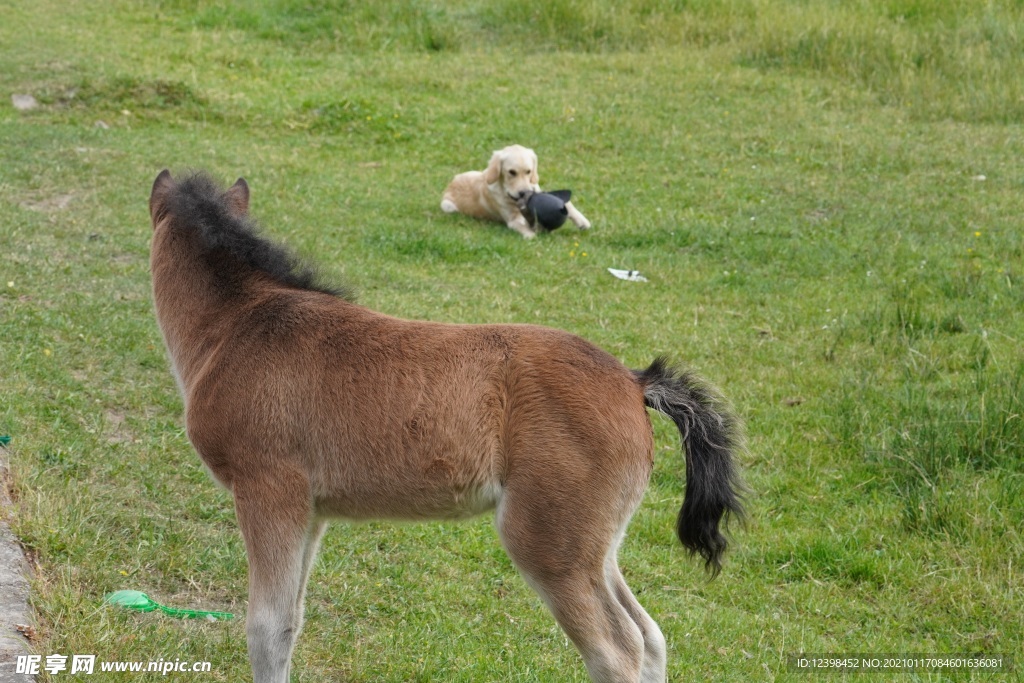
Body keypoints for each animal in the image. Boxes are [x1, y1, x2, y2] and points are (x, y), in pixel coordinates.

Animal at [148, 171, 745, 683]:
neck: (238, 326)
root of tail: (632, 380)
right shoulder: (310, 512)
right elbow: (292, 622)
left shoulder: (267, 491)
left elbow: (266, 629)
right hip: (597, 546)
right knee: (651, 637)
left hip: (549, 543)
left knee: (618, 650)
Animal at [440, 144, 593, 240]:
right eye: (511, 172)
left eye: (528, 171)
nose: (524, 193)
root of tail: (450, 183)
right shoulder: (513, 219)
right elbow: (524, 228)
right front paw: (532, 235)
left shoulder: (537, 188)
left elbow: (568, 203)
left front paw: (582, 221)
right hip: (447, 206)